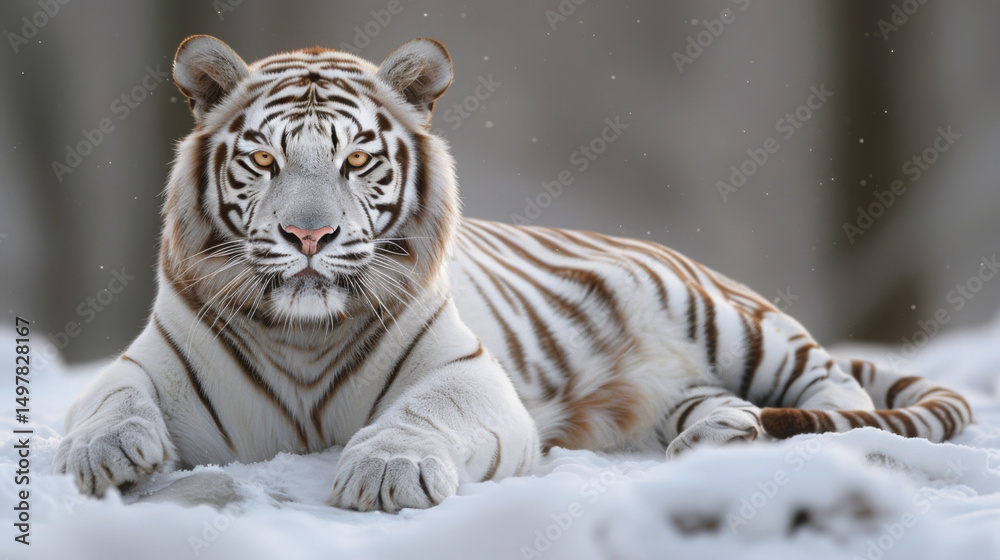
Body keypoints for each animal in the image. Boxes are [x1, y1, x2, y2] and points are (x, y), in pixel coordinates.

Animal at [53, 35, 972, 513]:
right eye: (262, 158)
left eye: (357, 159)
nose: (308, 234)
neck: (304, 334)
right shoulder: (153, 359)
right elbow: (107, 395)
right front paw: (106, 452)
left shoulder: (470, 377)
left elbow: (425, 414)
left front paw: (385, 471)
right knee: (721, 405)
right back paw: (715, 434)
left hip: (732, 322)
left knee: (839, 395)